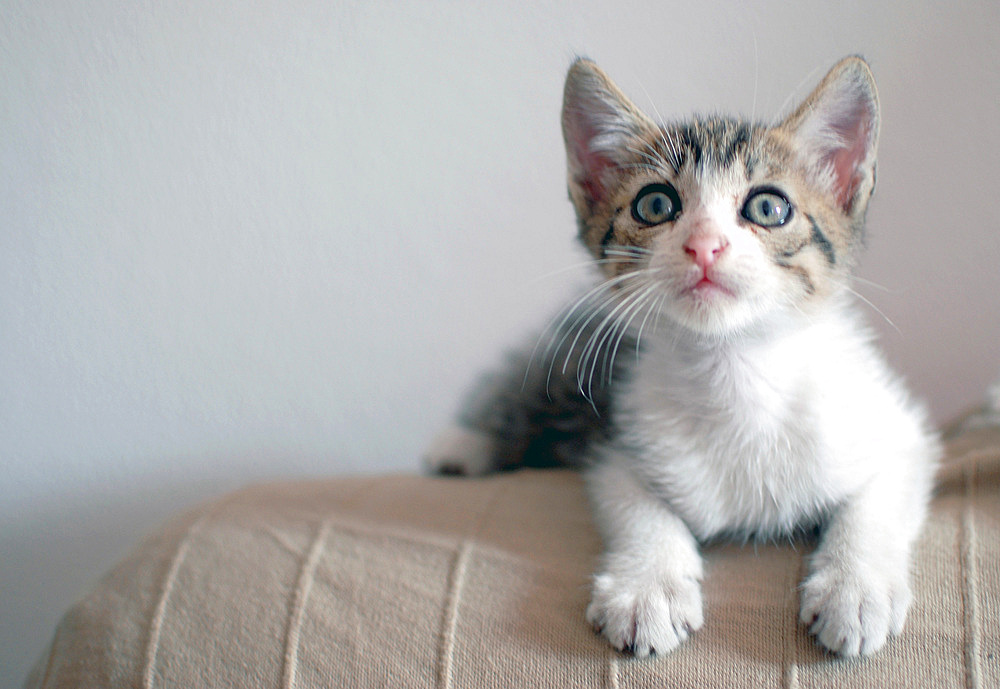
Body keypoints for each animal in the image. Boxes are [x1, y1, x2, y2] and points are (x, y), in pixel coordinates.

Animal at [426, 56, 940, 660]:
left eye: (768, 207)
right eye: (655, 204)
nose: (705, 245)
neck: (736, 373)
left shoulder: (897, 429)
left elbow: (877, 500)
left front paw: (857, 588)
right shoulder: (619, 436)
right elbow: (638, 505)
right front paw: (648, 587)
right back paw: (461, 448)